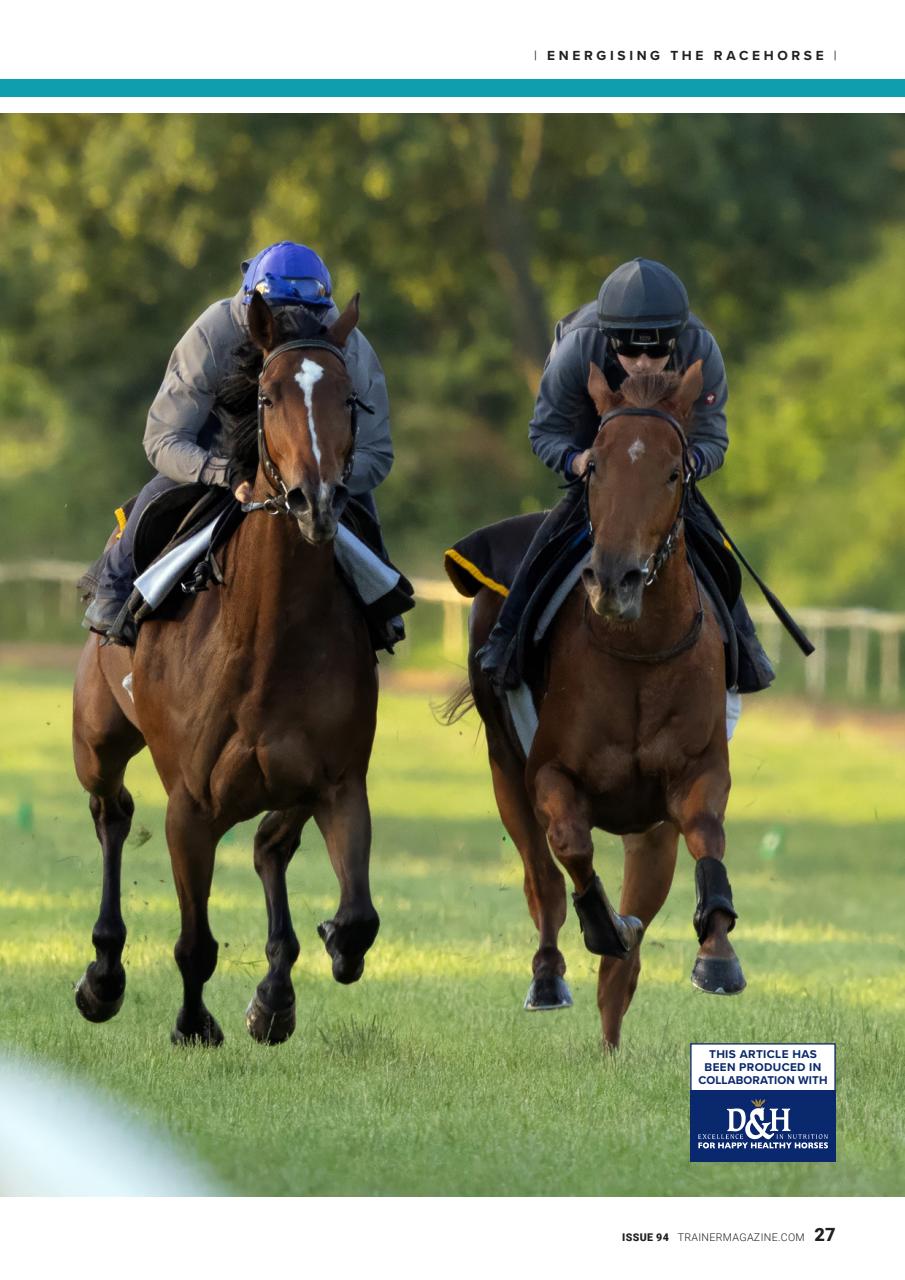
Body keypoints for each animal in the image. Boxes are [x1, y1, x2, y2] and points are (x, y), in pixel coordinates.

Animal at [72, 293, 381, 1046]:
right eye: (267, 396)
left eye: (348, 398)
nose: (314, 501)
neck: (266, 641)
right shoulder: (191, 803)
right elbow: (194, 942)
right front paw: (192, 1024)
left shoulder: (337, 781)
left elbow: (357, 918)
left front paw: (302, 969)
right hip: (97, 739)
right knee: (111, 813)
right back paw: (103, 976)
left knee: (268, 847)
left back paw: (276, 993)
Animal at [454, 361, 745, 1050]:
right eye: (596, 470)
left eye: (673, 473)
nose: (614, 579)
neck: (636, 650)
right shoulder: (550, 772)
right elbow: (570, 848)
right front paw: (601, 924)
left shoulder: (693, 774)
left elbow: (706, 834)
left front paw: (717, 955)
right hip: (504, 766)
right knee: (541, 877)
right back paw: (550, 973)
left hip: (647, 830)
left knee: (629, 948)